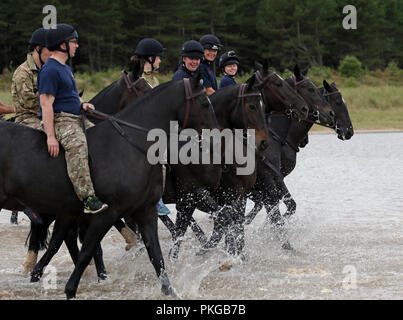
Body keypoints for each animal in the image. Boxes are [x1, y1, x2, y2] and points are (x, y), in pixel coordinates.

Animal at [0, 71, 219, 298]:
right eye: (205, 103)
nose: (216, 137)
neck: (129, 146)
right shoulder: (105, 214)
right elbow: (88, 251)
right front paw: (72, 289)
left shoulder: (145, 211)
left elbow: (156, 255)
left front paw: (170, 291)